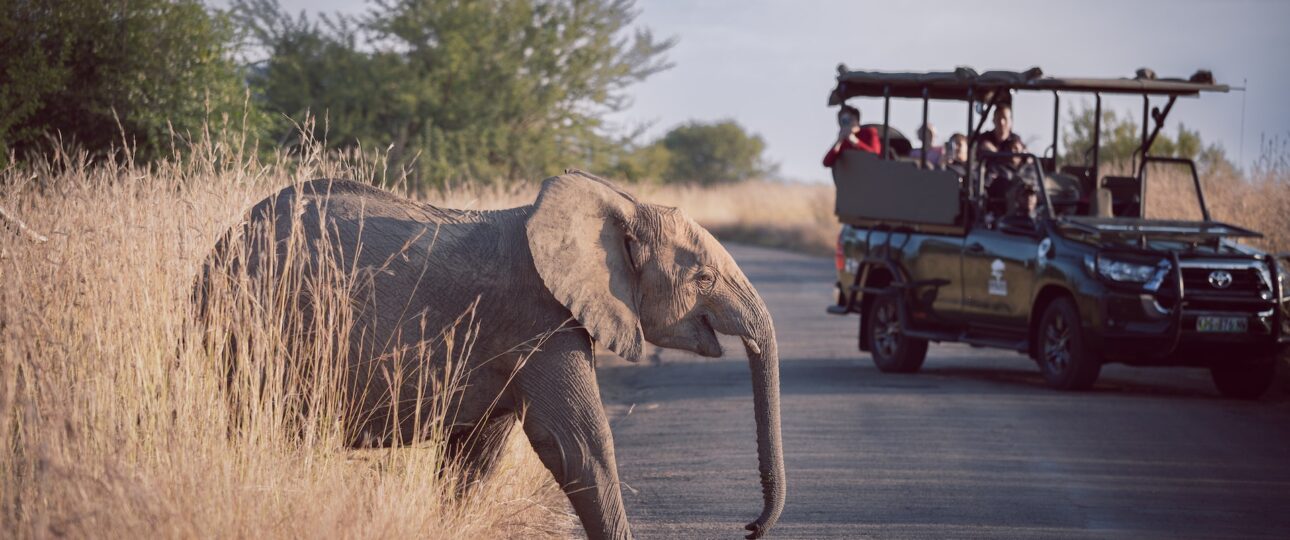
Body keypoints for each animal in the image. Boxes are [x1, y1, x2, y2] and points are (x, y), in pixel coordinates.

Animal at [198, 171, 784, 538]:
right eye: (702, 278)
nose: (750, 528)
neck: (613, 206)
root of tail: (219, 247)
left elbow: (477, 453)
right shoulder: (539, 319)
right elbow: (577, 445)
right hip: (254, 326)